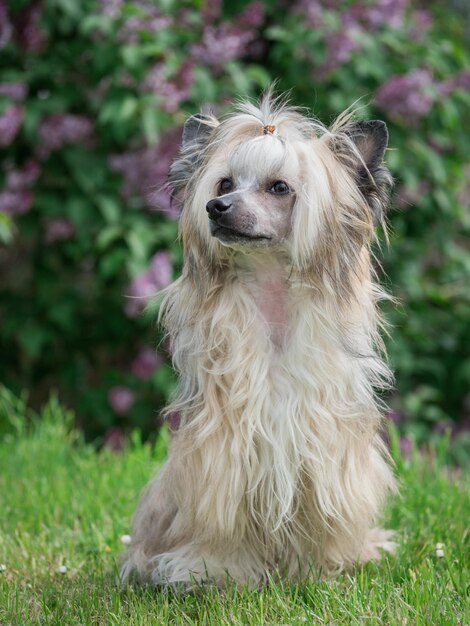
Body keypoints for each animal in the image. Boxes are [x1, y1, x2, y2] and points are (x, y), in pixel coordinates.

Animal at [120, 91, 396, 584]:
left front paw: (319, 569)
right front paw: (214, 570)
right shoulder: (222, 449)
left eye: (280, 188)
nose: (217, 206)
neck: (274, 304)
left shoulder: (323, 447)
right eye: (224, 183)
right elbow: (224, 517)